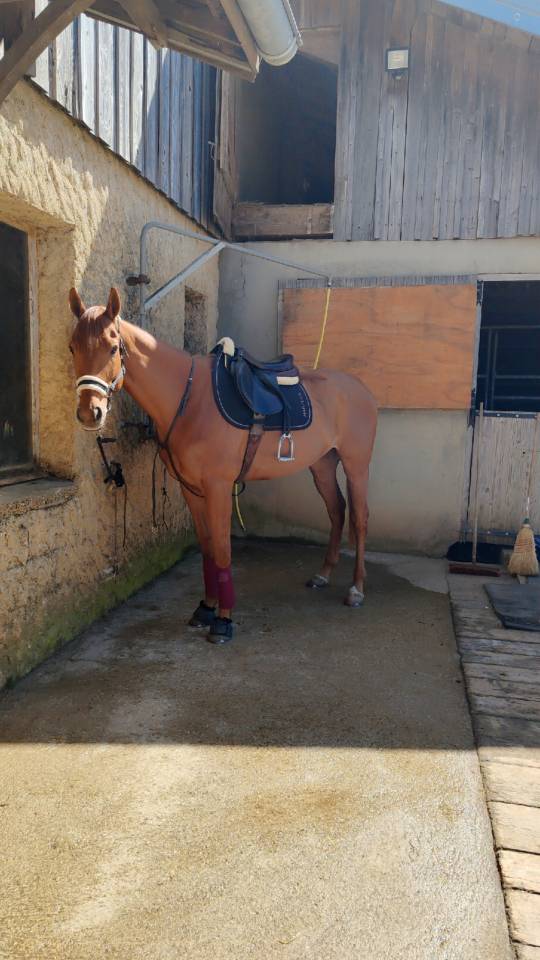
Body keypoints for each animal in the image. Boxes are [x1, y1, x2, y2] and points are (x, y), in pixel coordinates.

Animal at [69, 286, 378, 643]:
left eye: (113, 347)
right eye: (72, 347)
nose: (89, 413)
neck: (189, 399)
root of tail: (361, 389)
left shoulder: (218, 487)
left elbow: (222, 549)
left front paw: (224, 620)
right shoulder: (191, 489)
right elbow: (207, 548)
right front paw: (206, 608)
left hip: (356, 465)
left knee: (359, 518)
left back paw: (356, 589)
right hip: (323, 464)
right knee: (336, 510)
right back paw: (323, 575)